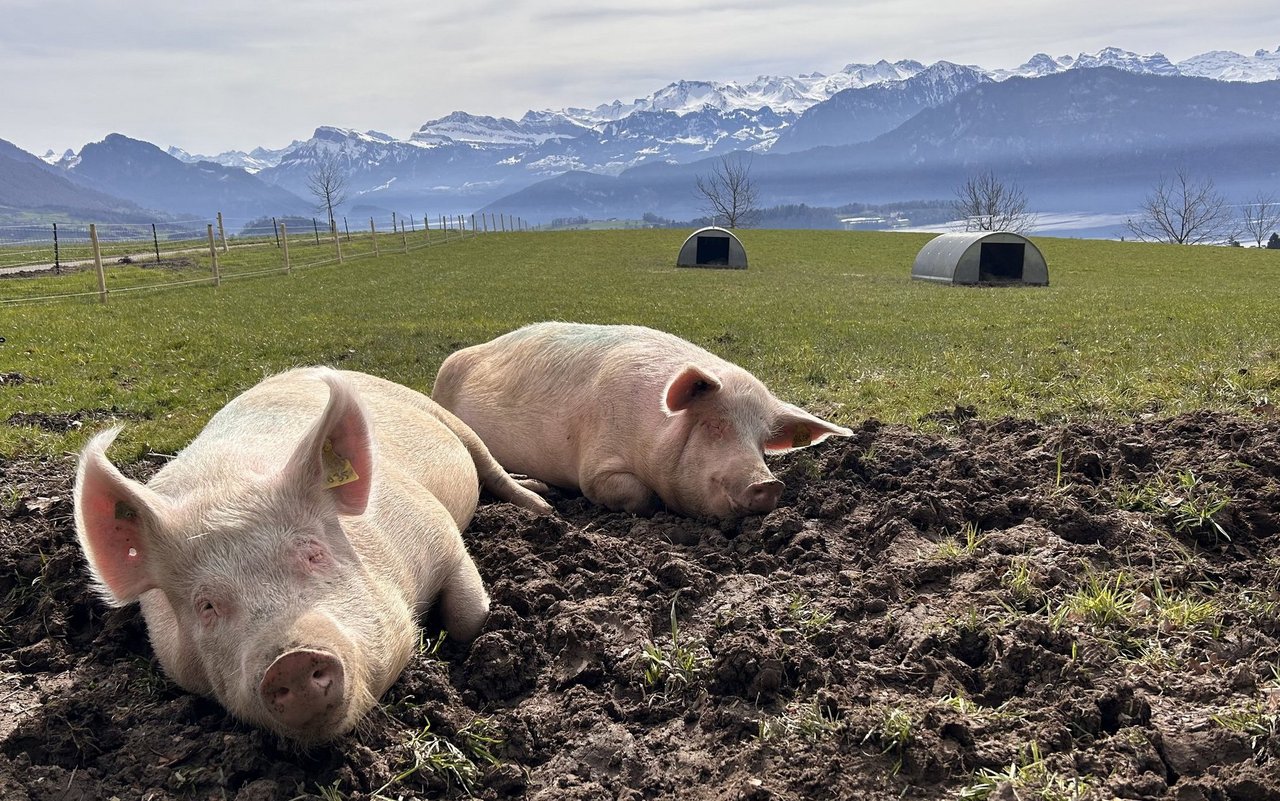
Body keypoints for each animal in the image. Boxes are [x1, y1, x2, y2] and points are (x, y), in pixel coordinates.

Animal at [72, 365, 547, 742]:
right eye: (205, 605)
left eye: (314, 554)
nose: (291, 662)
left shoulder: (440, 531)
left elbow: (468, 617)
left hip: (445, 418)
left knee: (491, 465)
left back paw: (541, 502)